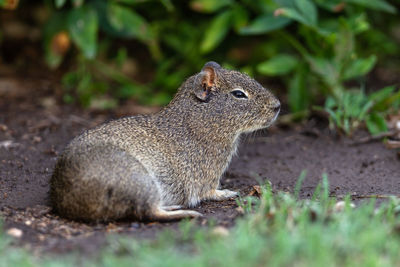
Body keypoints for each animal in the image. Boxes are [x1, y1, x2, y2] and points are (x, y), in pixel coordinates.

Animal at [50, 61, 280, 223]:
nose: (277, 105)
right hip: (142, 181)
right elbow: (210, 192)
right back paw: (186, 213)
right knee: (148, 212)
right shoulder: (206, 178)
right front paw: (228, 192)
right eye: (239, 94)